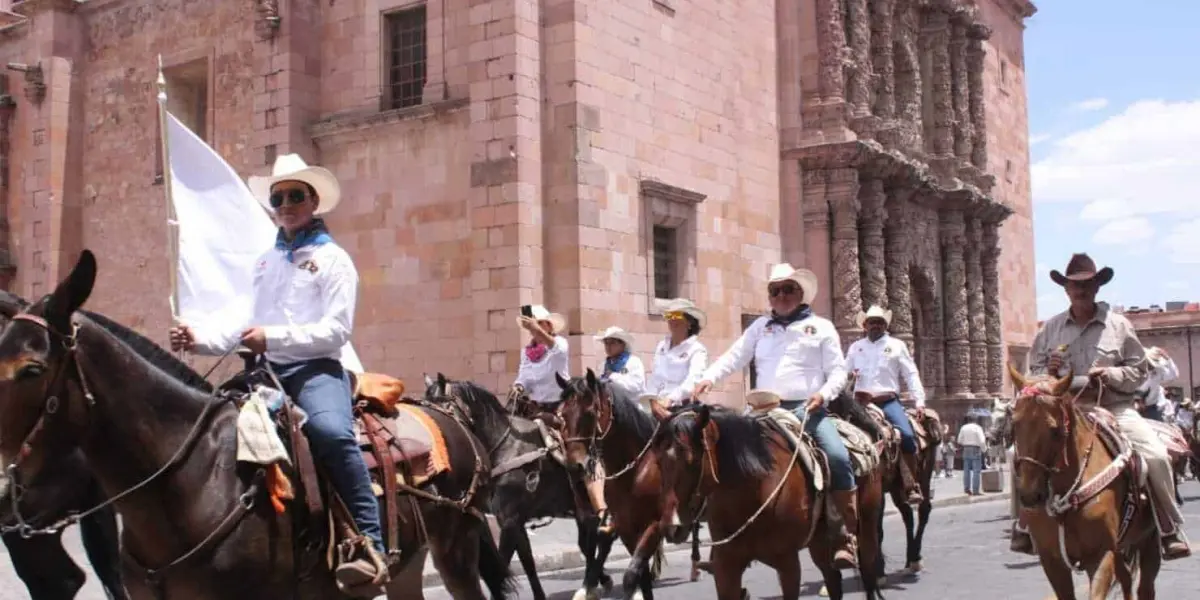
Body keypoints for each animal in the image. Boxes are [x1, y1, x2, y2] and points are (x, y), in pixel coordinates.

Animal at [0, 248, 513, 600]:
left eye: (31, 369)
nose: (5, 494)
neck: (193, 478)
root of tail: (452, 418)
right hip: (409, 560)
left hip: (456, 550)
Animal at [424, 372, 619, 600]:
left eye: (437, 411)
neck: (505, 449)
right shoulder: (515, 520)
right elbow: (527, 561)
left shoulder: (509, 520)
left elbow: (503, 563)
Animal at [554, 369, 672, 600]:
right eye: (562, 415)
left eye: (590, 412)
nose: (575, 467)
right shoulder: (625, 525)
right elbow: (640, 573)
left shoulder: (654, 523)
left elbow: (631, 574)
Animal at [643, 398, 888, 600]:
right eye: (658, 461)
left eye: (692, 461)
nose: (672, 526)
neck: (752, 494)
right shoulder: (726, 567)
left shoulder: (787, 563)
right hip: (820, 541)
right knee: (832, 579)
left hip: (866, 527)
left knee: (867, 574)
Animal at [1003, 364, 1161, 600]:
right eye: (1014, 425)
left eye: (1055, 430)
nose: (1030, 495)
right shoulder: (1052, 561)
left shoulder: (1101, 554)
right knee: (1126, 579)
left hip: (1148, 539)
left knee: (1145, 588)